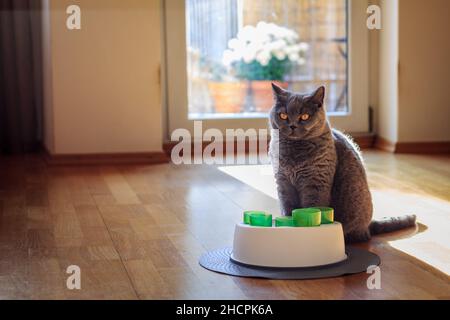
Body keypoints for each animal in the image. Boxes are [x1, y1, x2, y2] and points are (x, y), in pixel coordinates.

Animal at [268, 83, 416, 242]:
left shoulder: (316, 184)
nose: (292, 125)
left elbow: (310, 207)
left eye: (304, 116)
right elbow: (287, 208)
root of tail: (368, 226)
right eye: (283, 115)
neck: (294, 154)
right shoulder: (283, 183)